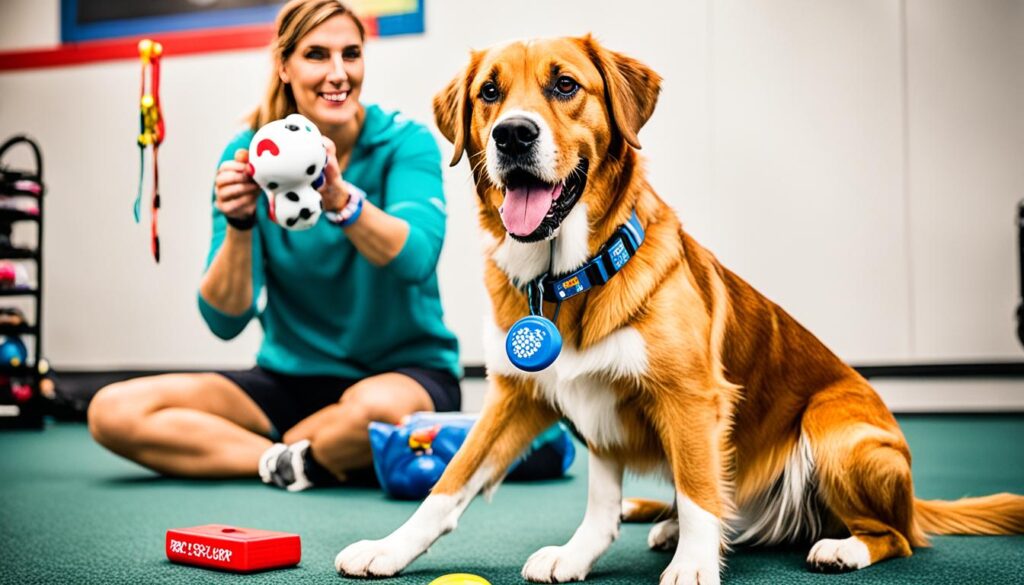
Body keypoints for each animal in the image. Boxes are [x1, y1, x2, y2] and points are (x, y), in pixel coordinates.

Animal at [331, 37, 1019, 585]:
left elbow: (696, 491)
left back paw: (843, 546)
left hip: (835, 431)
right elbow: (455, 485)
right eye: (489, 94)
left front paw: (692, 564)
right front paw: (391, 548)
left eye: (565, 85)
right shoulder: (521, 399)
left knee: (897, 536)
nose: (512, 134)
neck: (567, 279)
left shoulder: (690, 399)